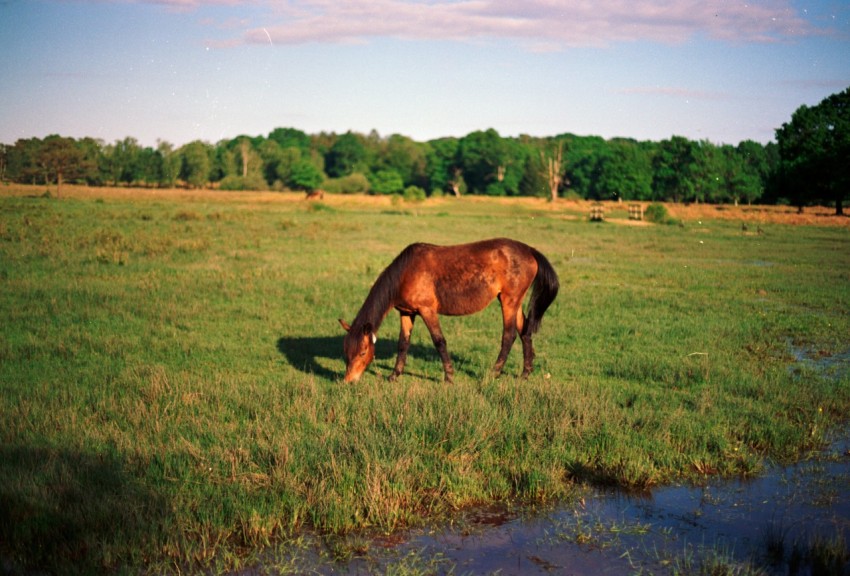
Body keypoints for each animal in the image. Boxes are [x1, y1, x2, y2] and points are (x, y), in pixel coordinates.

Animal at [338, 236, 556, 384]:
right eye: (346, 350)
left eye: (363, 352)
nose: (349, 381)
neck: (406, 272)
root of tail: (529, 250)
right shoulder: (407, 313)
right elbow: (403, 344)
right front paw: (394, 375)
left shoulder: (427, 310)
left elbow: (439, 341)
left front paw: (449, 377)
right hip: (513, 302)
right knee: (525, 332)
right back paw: (525, 373)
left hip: (509, 302)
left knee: (509, 336)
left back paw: (494, 373)